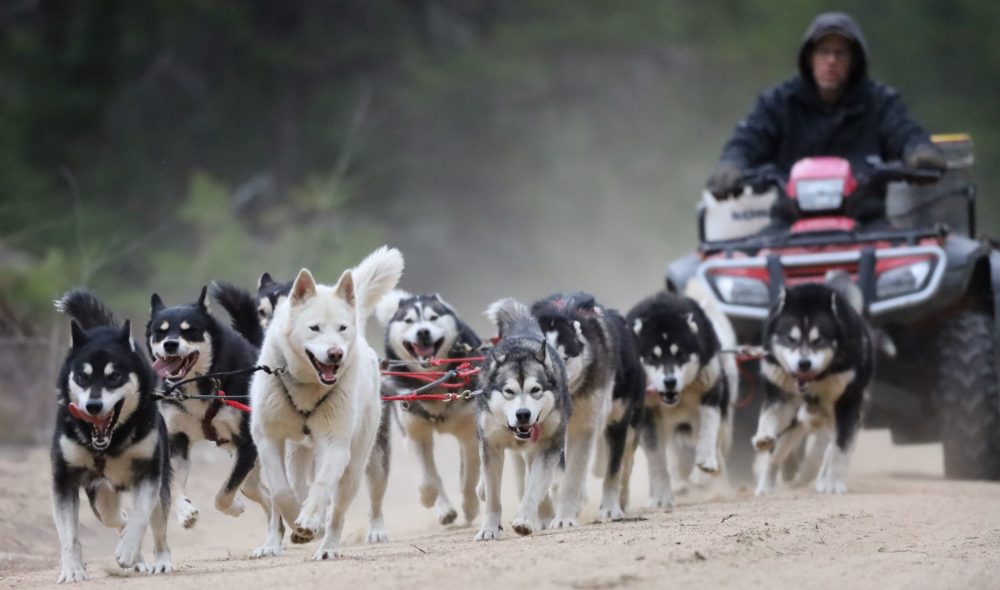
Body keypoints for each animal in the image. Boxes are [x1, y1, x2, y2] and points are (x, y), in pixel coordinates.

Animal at [52, 290, 173, 584]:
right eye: (82, 377)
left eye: (114, 376)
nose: (93, 406)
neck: (111, 442)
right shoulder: (64, 479)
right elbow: (68, 535)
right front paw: (72, 569)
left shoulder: (150, 472)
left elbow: (141, 516)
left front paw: (128, 552)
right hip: (101, 497)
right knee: (118, 518)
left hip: (158, 487)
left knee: (157, 527)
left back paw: (159, 560)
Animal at [146, 290, 268, 536]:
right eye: (160, 332)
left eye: (189, 330)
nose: (170, 344)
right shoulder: (177, 440)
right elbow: (173, 485)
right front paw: (185, 513)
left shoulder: (247, 444)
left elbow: (222, 496)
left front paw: (233, 506)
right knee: (263, 497)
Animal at [752, 284, 872, 498]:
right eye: (790, 339)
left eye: (819, 340)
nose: (804, 363)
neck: (816, 380)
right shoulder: (780, 395)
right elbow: (769, 416)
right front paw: (763, 436)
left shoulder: (847, 406)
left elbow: (840, 450)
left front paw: (833, 484)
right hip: (793, 428)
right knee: (776, 455)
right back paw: (766, 486)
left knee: (830, 448)